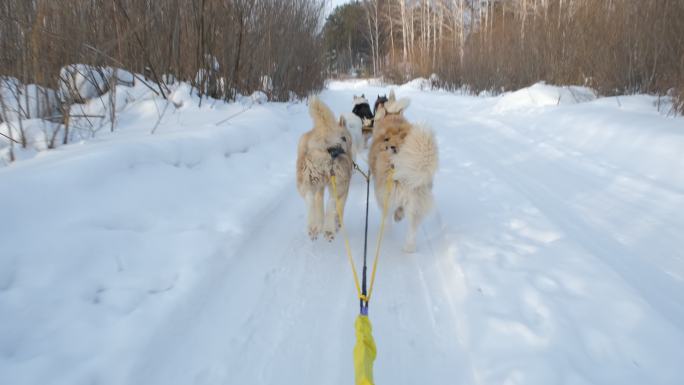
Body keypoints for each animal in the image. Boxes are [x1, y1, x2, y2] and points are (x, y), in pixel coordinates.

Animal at [296, 96, 352, 240]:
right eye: (346, 139)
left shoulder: (320, 186)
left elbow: (319, 203)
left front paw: (319, 225)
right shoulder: (342, 186)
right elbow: (335, 207)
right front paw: (334, 225)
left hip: (308, 177)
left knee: (312, 199)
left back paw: (314, 227)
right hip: (336, 180)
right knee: (329, 203)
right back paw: (328, 229)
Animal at [368, 90, 438, 252]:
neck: (391, 118)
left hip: (384, 195)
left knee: (387, 214)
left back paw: (388, 229)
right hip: (418, 196)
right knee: (412, 225)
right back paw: (408, 247)